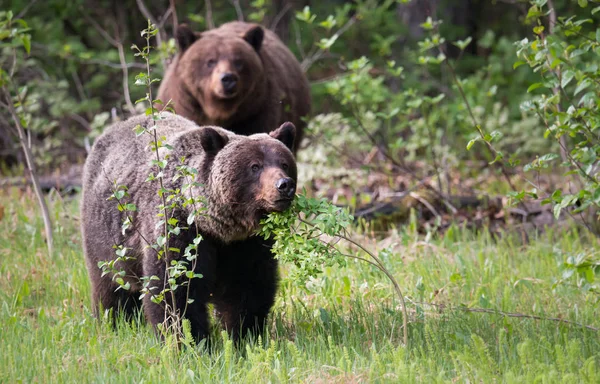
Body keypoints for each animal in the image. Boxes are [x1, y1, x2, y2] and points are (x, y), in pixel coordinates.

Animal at [82, 112, 298, 342]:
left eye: (284, 163)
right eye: (255, 166)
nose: (284, 185)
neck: (219, 229)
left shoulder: (247, 244)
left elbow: (248, 288)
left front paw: (242, 334)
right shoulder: (179, 230)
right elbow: (175, 289)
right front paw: (189, 339)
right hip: (106, 237)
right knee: (111, 284)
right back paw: (113, 321)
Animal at [156, 21, 310, 153]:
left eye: (238, 61)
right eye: (210, 61)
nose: (228, 78)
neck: (220, 111)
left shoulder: (257, 112)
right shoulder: (184, 108)